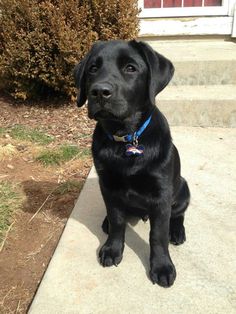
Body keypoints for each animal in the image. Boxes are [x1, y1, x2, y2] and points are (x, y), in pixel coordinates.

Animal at [74, 39, 191, 288]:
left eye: (130, 68)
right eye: (93, 69)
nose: (99, 92)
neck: (126, 139)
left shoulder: (161, 194)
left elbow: (158, 234)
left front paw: (162, 266)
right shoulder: (109, 186)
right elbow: (118, 221)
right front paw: (112, 249)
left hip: (183, 189)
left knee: (177, 215)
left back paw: (176, 231)